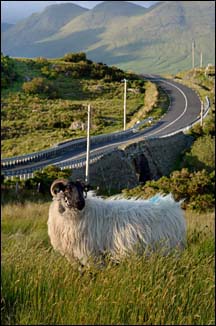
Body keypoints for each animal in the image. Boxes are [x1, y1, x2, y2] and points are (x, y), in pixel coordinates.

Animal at [47, 178, 186, 268]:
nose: (80, 203)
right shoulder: (73, 256)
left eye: (82, 189)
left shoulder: (90, 255)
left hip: (168, 249)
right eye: (67, 189)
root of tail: (172, 205)